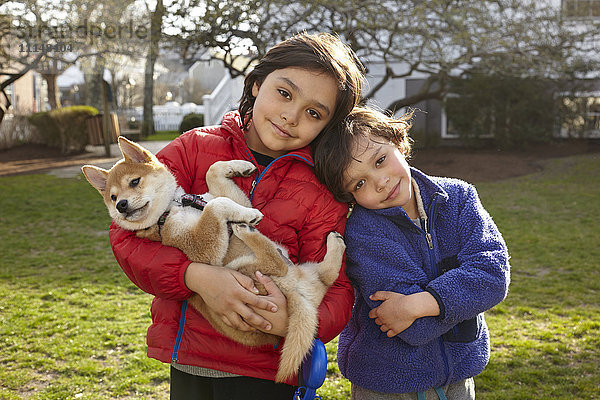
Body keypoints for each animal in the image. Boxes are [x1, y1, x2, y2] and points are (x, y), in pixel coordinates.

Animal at [82, 137, 344, 382]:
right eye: (113, 197)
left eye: (134, 182)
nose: (121, 205)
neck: (172, 208)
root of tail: (301, 298)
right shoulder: (202, 249)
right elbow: (217, 205)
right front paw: (248, 216)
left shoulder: (226, 198)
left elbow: (214, 172)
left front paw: (241, 167)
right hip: (243, 268)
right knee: (277, 263)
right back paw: (245, 231)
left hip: (301, 271)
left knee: (326, 275)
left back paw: (336, 243)